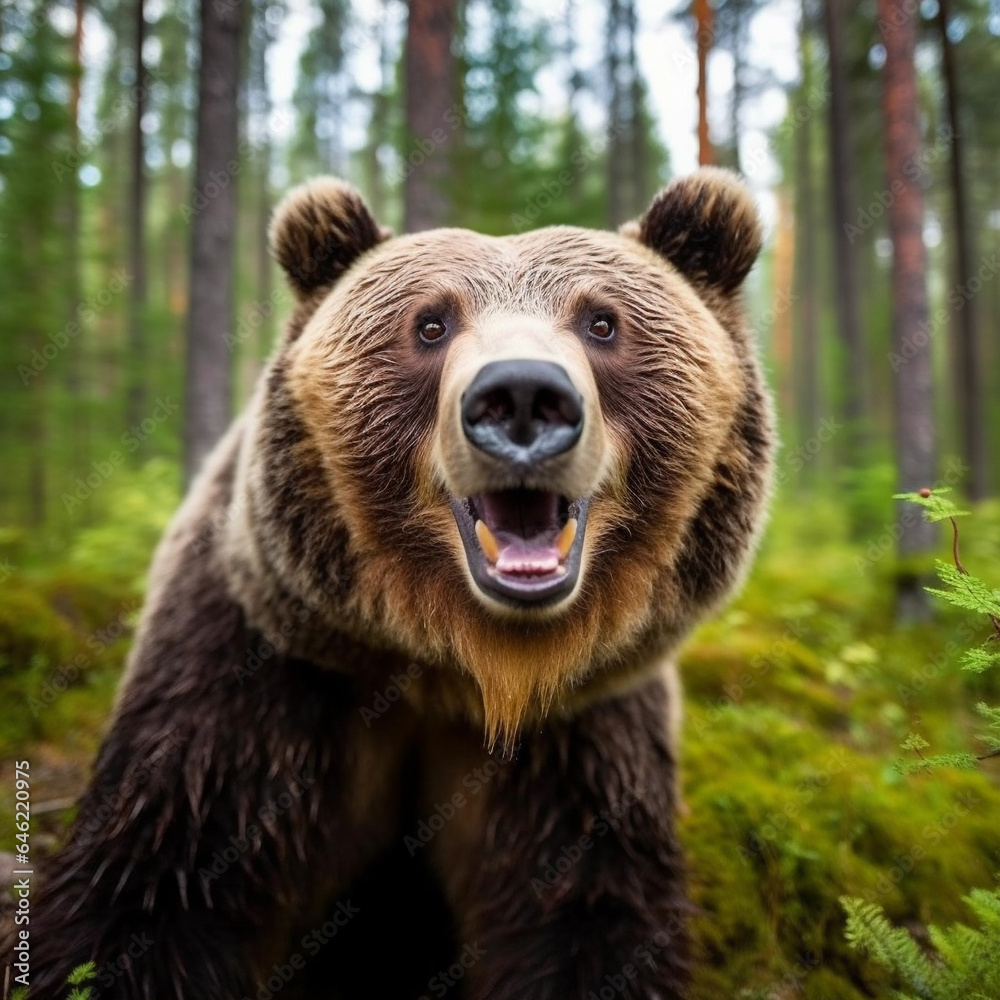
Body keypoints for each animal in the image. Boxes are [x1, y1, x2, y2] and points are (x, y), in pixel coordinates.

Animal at [21, 168, 772, 996]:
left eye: (602, 322)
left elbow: (583, 918)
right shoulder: (258, 676)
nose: (521, 397)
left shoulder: (585, 734)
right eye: (431, 324)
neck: (460, 667)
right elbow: (156, 882)